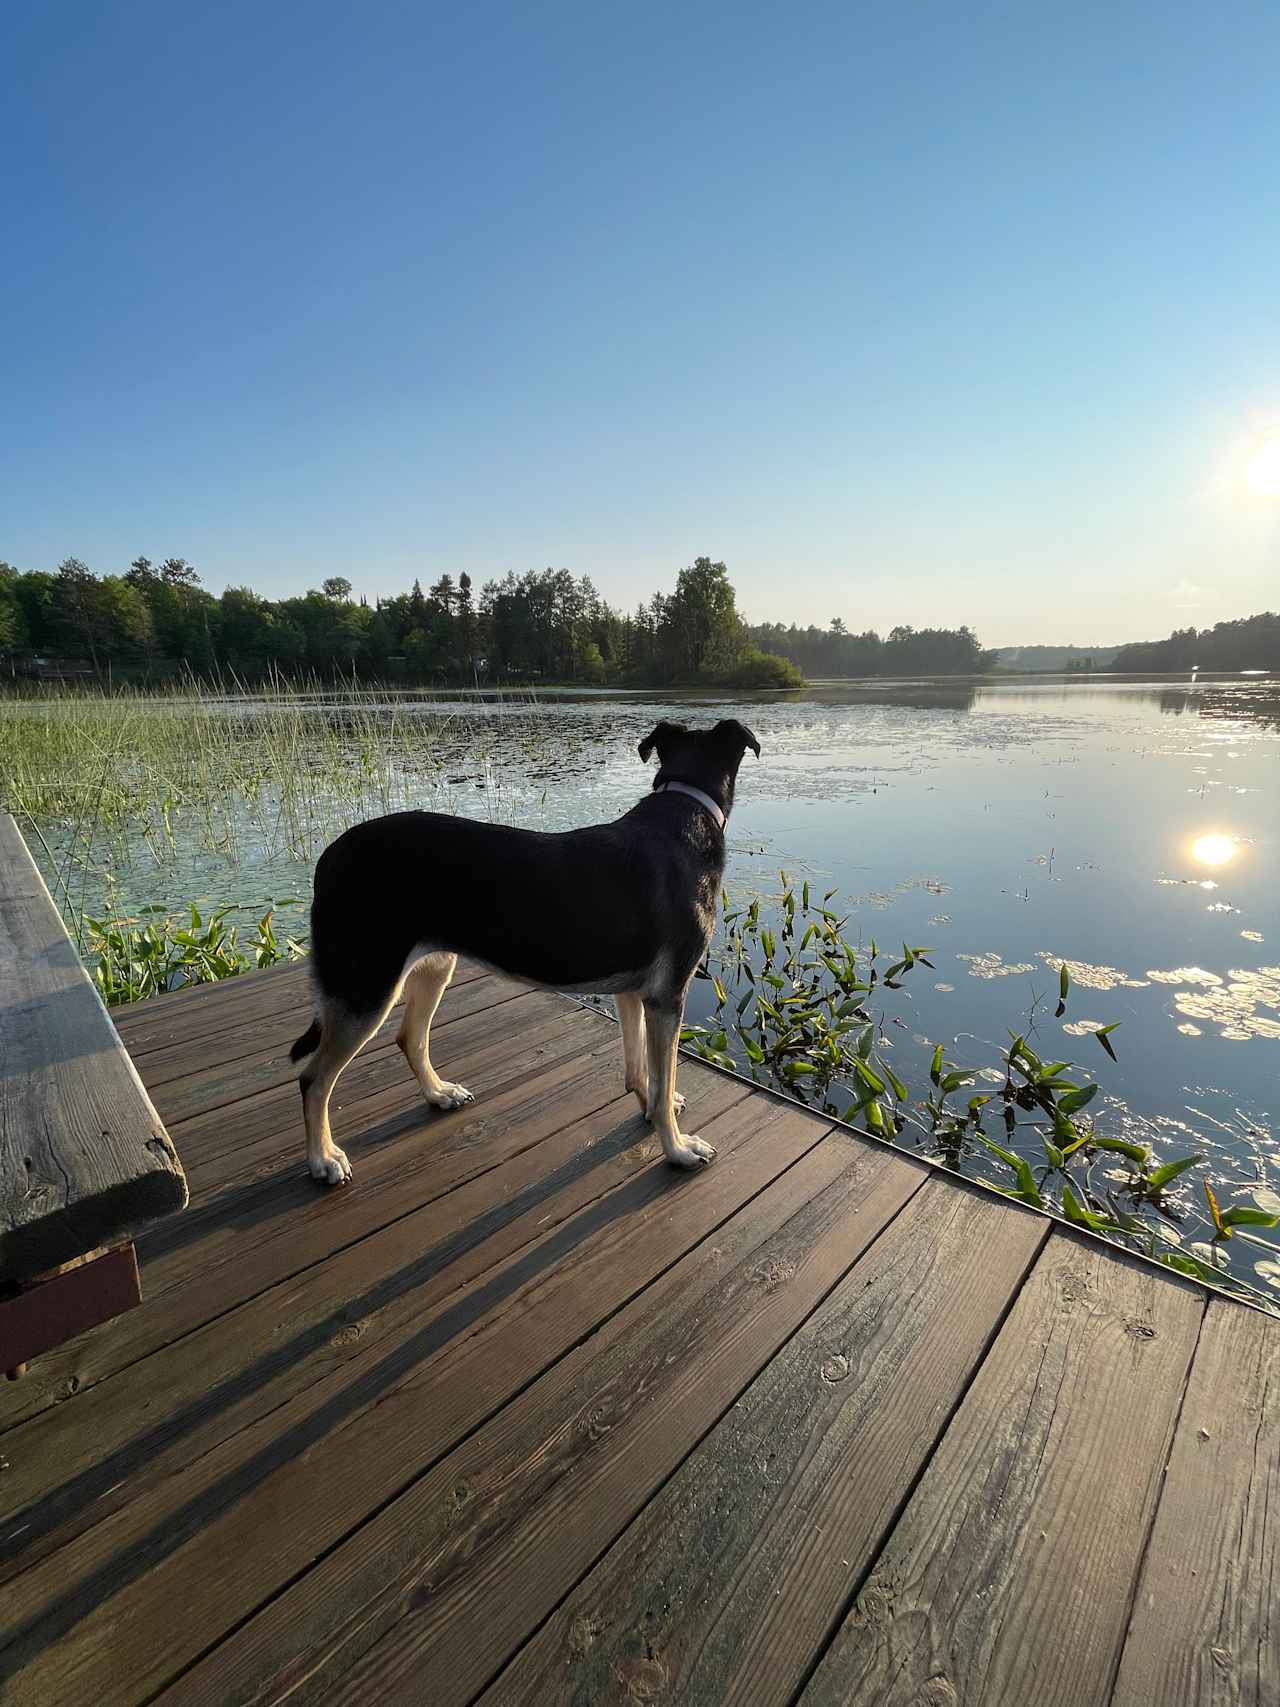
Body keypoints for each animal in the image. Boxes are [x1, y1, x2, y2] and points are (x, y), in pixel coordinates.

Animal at [290, 720, 761, 1188]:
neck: (687, 807)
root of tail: (328, 856)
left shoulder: (633, 992)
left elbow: (638, 1068)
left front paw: (646, 1107)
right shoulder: (667, 998)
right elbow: (662, 1084)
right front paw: (678, 1148)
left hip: (433, 967)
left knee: (410, 1038)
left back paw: (438, 1093)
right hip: (366, 988)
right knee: (313, 1079)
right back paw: (323, 1158)